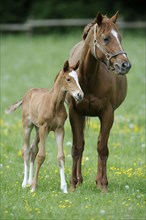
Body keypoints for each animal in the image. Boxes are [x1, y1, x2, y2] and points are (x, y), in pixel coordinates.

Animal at [5, 60, 83, 192]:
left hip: (37, 130)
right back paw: (25, 183)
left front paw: (64, 188)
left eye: (77, 78)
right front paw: (33, 187)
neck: (54, 104)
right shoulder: (44, 128)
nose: (80, 95)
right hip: (28, 126)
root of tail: (27, 94)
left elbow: (61, 157)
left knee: (33, 149)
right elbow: (41, 156)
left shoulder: (59, 129)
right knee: (26, 150)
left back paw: (29, 181)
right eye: (68, 79)